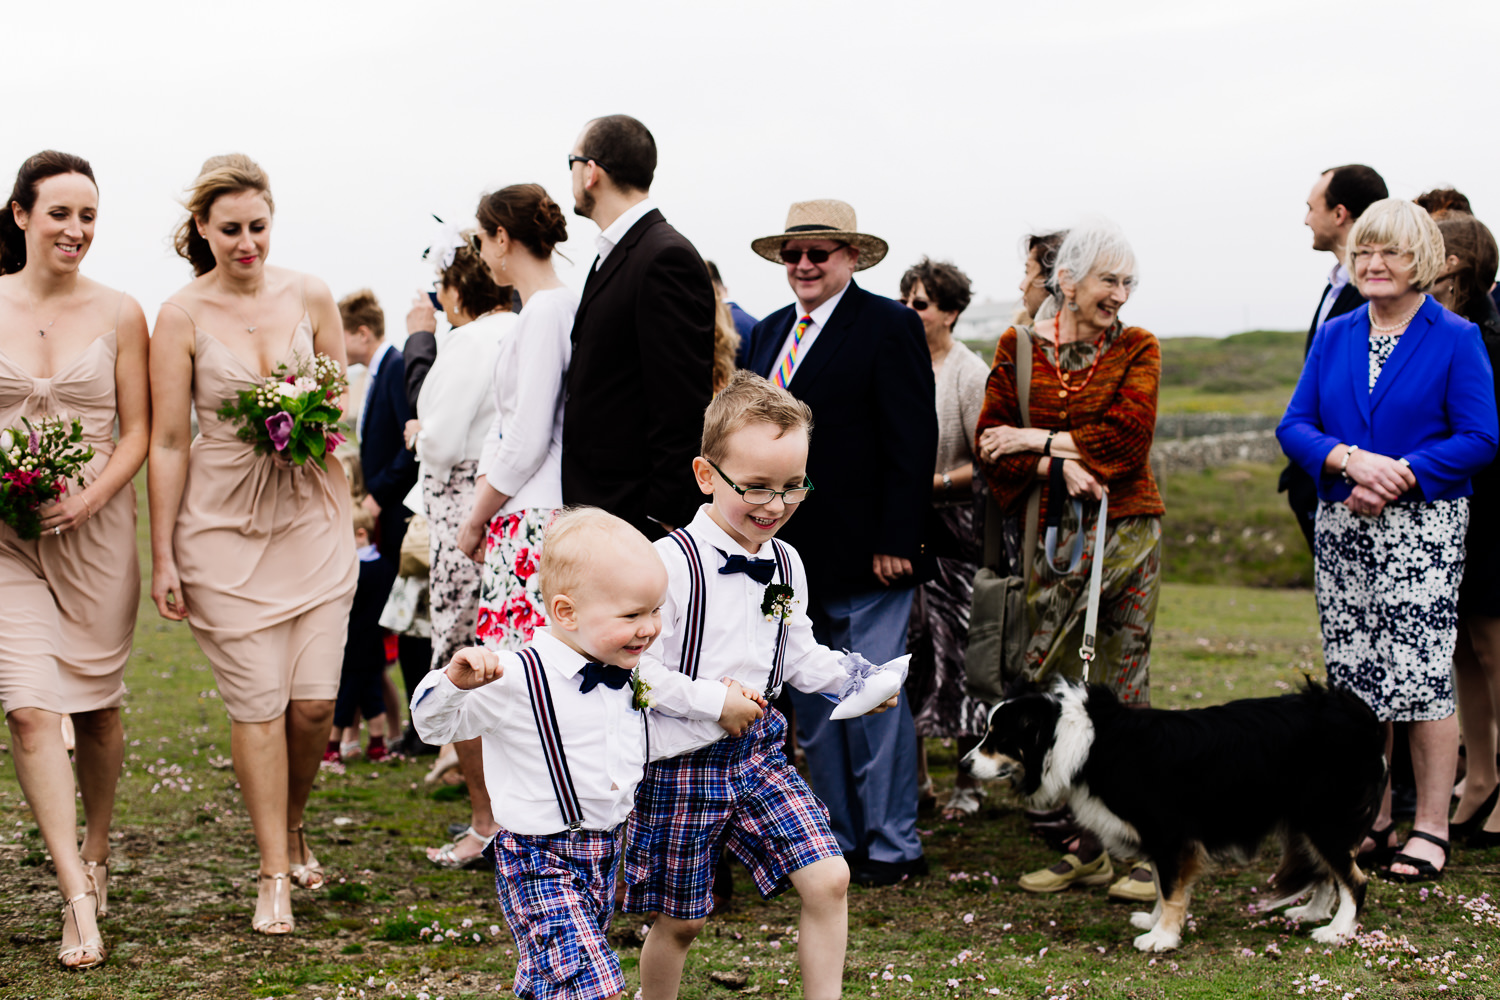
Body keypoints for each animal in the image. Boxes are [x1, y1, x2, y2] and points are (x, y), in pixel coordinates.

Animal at [960, 680, 1380, 953]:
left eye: (997, 738)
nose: (964, 765)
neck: (1077, 739)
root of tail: (1356, 711)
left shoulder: (1169, 834)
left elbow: (1172, 888)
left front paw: (1161, 938)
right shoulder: (1161, 841)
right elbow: (1163, 887)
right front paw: (1154, 922)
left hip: (1325, 817)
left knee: (1355, 879)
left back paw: (1338, 931)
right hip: (1308, 821)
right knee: (1330, 871)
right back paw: (1312, 913)